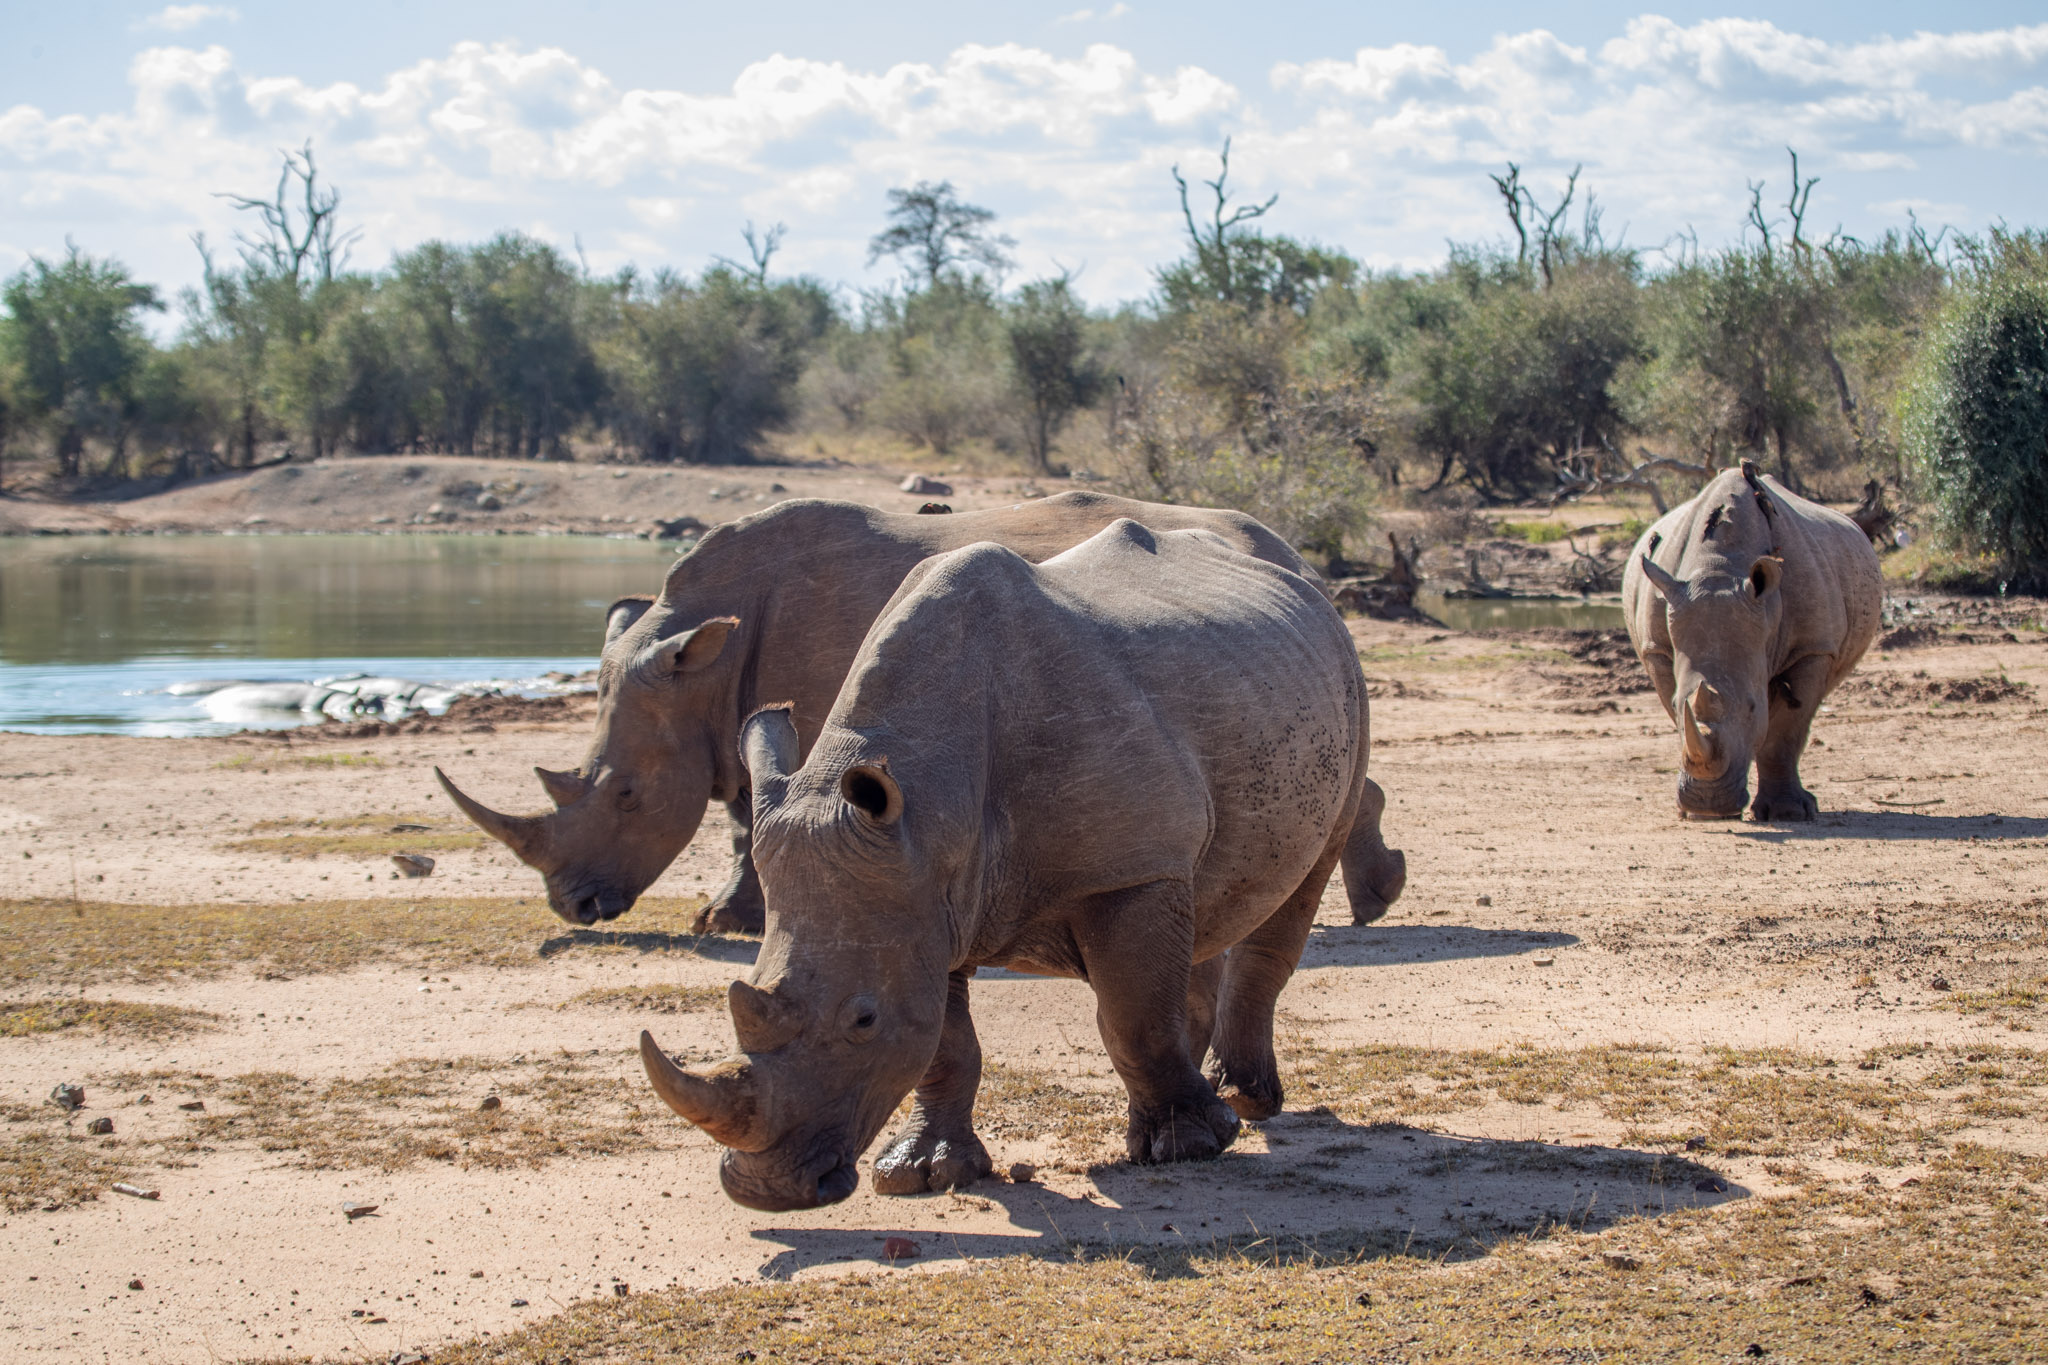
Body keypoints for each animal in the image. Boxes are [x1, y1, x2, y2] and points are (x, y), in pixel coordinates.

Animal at [438, 492, 1406, 930]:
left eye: (629, 796)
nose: (573, 906)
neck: (700, 666)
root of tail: (1287, 548)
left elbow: (746, 815)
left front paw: (726, 921)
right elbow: (745, 809)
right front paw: (729, 916)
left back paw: (1367, 903)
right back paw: (1373, 898)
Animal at [640, 520, 1370, 1210]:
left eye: (862, 1021)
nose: (763, 1190)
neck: (932, 795)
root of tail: (1302, 577)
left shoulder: (1125, 870)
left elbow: (1132, 1018)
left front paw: (1191, 1146)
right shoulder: (921, 894)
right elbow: (944, 1041)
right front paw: (922, 1173)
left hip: (1345, 684)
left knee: (1300, 880)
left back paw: (1244, 1102)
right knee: (1205, 901)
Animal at [1622, 461, 1882, 820]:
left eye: (1752, 707)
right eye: (1675, 704)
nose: (1707, 804)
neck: (1717, 568)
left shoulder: (1813, 649)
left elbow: (1785, 733)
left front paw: (1790, 813)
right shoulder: (1656, 648)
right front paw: (1696, 811)